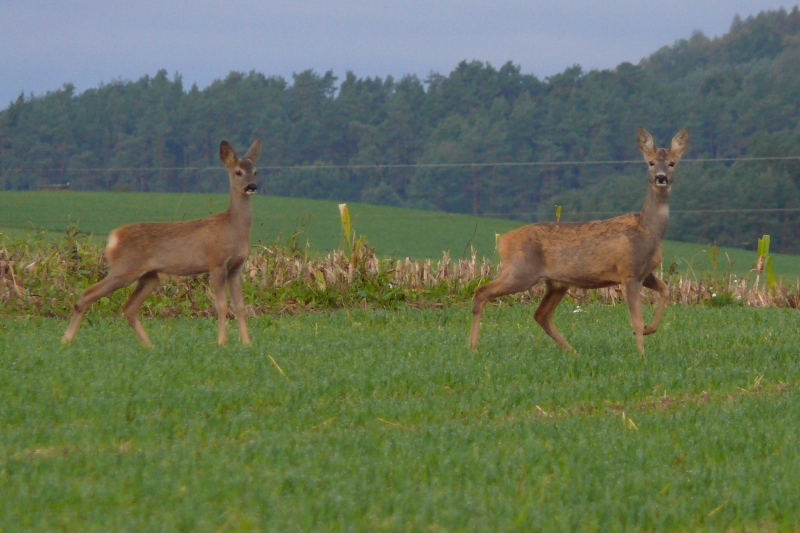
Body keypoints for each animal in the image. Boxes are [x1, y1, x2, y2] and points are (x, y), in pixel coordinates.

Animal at [63, 137, 262, 344]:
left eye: (255, 171)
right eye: (238, 172)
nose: (252, 186)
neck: (233, 229)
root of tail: (113, 238)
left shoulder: (236, 266)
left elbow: (240, 306)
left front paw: (247, 343)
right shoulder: (216, 262)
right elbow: (222, 305)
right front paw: (221, 342)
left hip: (150, 276)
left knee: (129, 308)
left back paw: (149, 345)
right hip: (124, 269)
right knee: (86, 295)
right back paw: (66, 339)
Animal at [468, 127, 688, 356]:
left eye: (672, 163)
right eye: (651, 162)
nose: (661, 178)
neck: (647, 231)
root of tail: (504, 241)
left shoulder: (645, 273)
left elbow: (665, 290)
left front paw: (649, 329)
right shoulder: (629, 271)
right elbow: (635, 318)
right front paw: (642, 353)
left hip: (555, 283)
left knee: (541, 314)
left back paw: (572, 350)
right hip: (521, 271)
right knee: (482, 291)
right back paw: (472, 346)